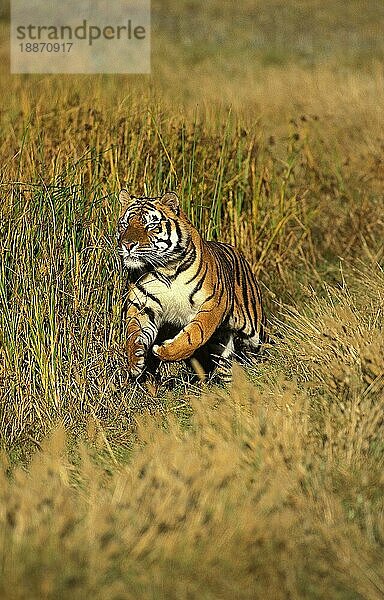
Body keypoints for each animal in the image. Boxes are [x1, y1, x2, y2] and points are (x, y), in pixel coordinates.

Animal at [117, 190, 266, 382]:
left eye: (150, 225)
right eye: (125, 224)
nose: (127, 245)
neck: (165, 269)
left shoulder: (213, 303)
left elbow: (195, 334)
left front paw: (164, 351)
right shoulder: (143, 304)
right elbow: (134, 332)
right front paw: (135, 361)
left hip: (255, 332)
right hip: (221, 344)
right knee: (225, 365)